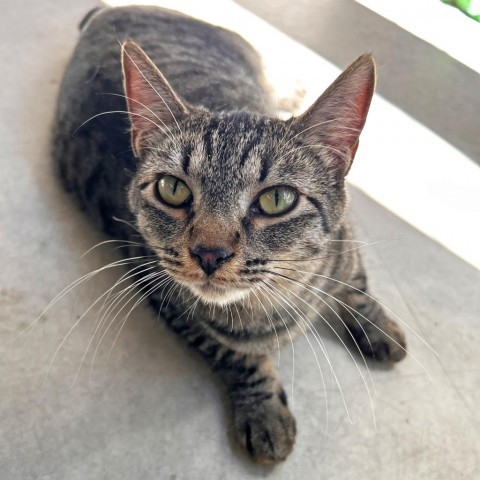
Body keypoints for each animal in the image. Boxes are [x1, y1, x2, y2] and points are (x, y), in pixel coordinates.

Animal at [51, 5, 404, 464]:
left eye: (277, 199)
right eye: (172, 188)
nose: (209, 253)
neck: (272, 305)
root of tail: (114, 9)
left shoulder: (347, 241)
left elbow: (359, 285)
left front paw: (378, 325)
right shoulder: (164, 295)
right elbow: (235, 355)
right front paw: (264, 410)